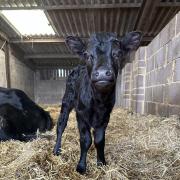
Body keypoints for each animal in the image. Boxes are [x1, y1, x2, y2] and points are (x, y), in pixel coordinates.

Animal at [53, 31, 142, 174]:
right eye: (87, 54)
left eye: (118, 53)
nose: (102, 74)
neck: (98, 101)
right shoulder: (81, 114)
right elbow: (86, 140)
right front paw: (81, 167)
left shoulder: (105, 117)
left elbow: (99, 140)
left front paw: (101, 163)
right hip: (66, 101)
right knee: (61, 125)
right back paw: (57, 150)